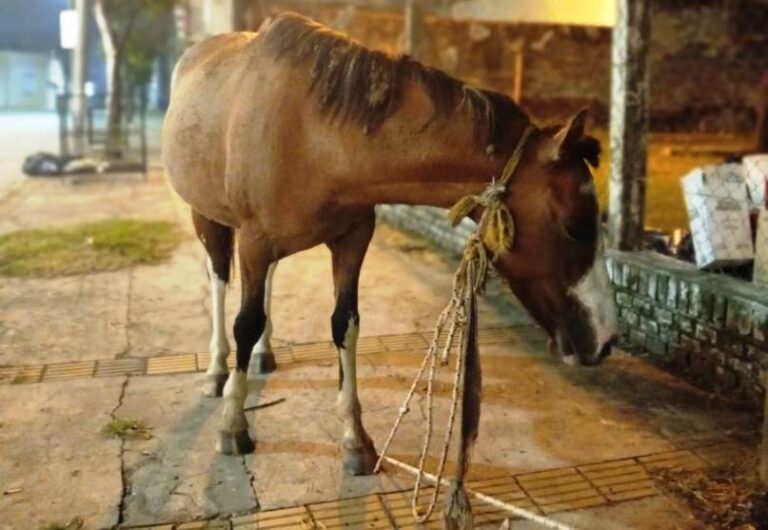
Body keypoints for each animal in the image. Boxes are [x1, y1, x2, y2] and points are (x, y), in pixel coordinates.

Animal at [162, 12, 618, 476]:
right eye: (576, 225)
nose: (606, 340)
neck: (315, 137)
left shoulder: (352, 238)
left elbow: (344, 324)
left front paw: (355, 441)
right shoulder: (254, 240)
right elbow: (245, 322)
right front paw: (233, 426)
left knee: (266, 281)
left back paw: (263, 353)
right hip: (208, 218)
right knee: (219, 280)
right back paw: (217, 370)